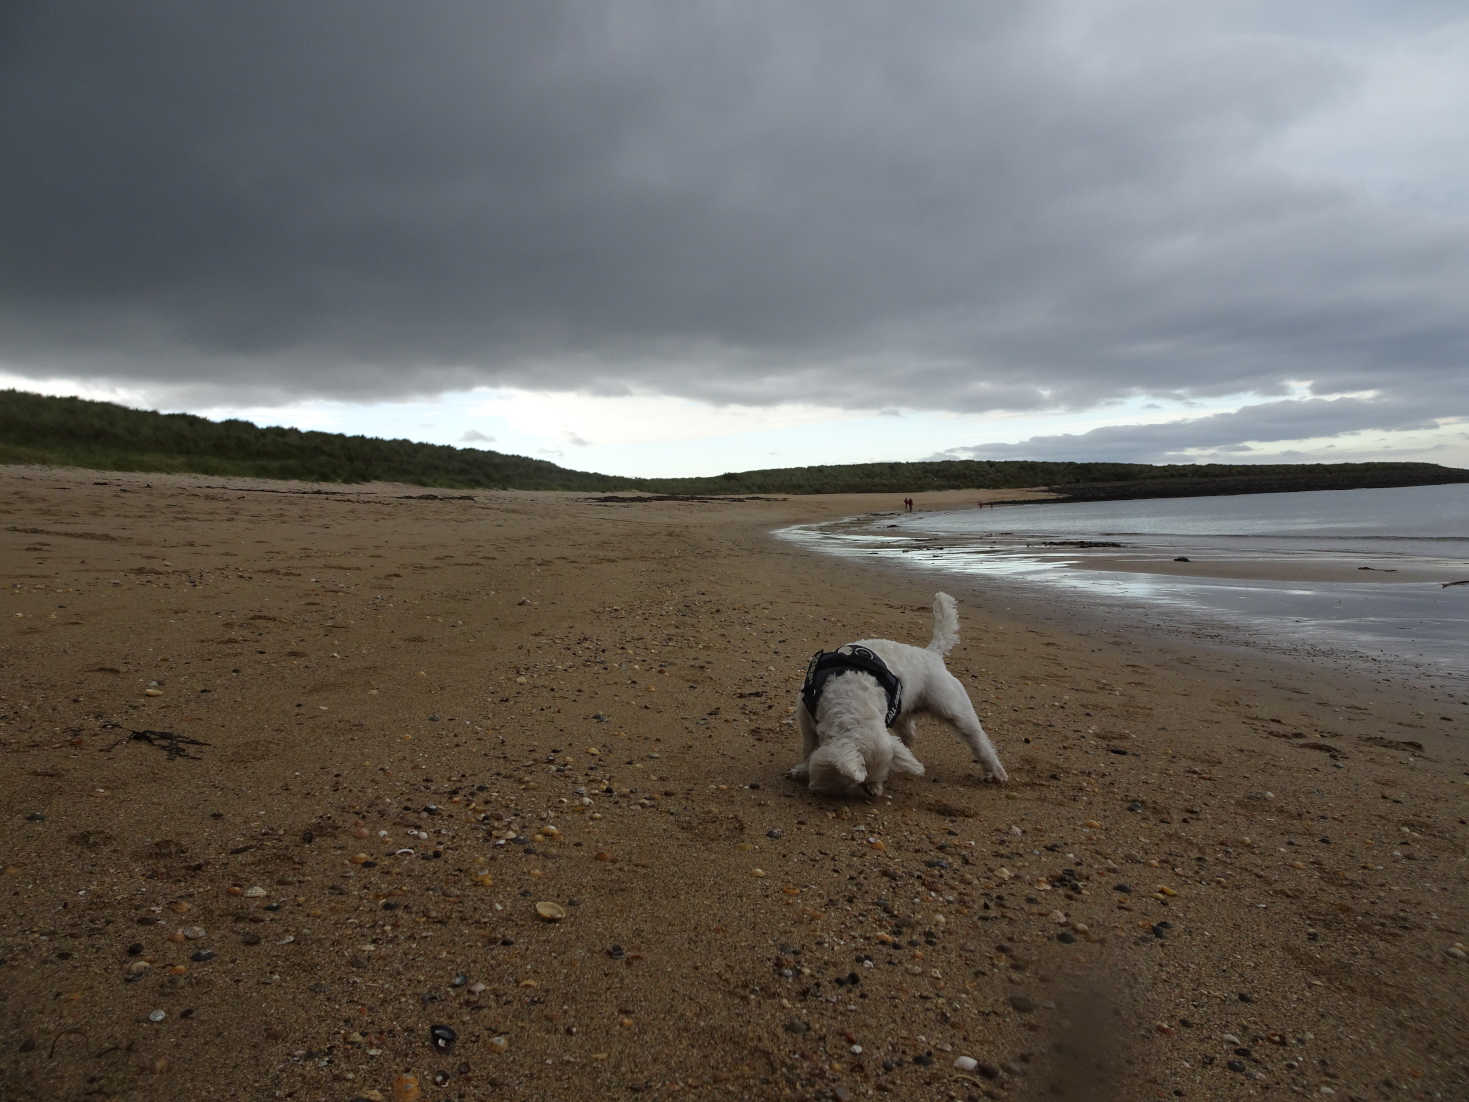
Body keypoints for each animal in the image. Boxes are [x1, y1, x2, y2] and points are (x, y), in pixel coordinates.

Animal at [793, 590, 1010, 799]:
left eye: (872, 781)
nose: (873, 794)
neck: (853, 697)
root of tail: (932, 654)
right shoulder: (805, 713)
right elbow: (808, 746)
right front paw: (803, 767)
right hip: (902, 712)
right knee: (909, 735)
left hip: (955, 710)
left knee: (979, 740)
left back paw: (995, 771)